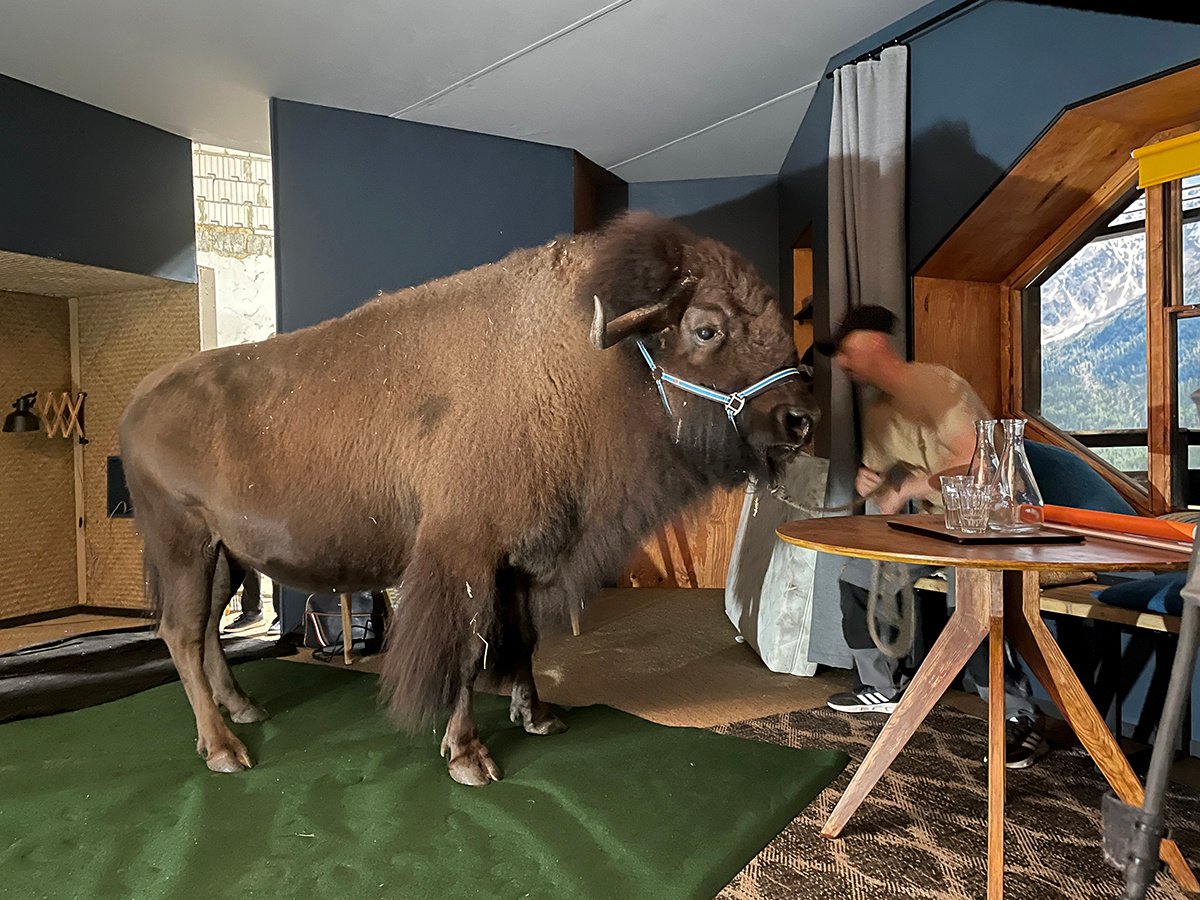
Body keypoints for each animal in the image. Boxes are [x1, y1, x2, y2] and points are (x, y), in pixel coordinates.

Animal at [119, 210, 816, 782]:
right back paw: (223, 749)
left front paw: (538, 717)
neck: (580, 364)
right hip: (182, 544)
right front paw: (469, 757)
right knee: (181, 632)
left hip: (226, 555)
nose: (800, 419)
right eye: (706, 329)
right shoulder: (465, 559)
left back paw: (245, 708)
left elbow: (525, 639)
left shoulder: (528, 561)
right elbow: (465, 652)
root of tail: (138, 403)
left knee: (206, 630)